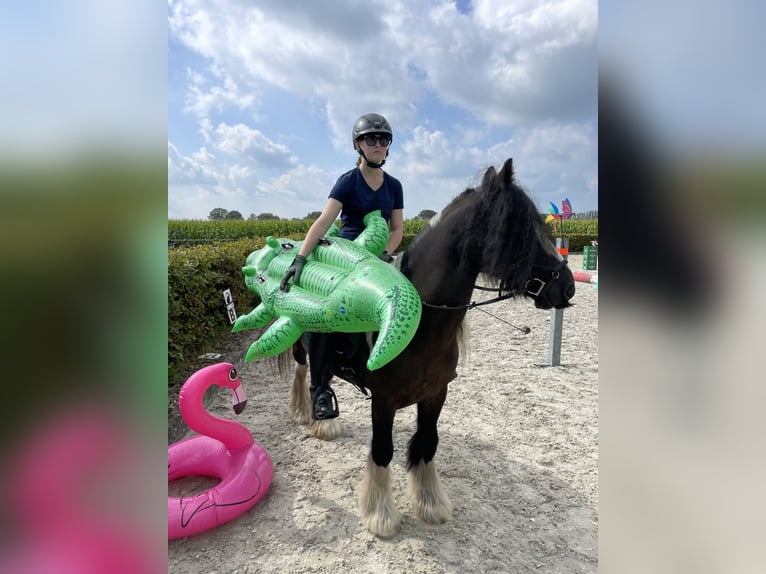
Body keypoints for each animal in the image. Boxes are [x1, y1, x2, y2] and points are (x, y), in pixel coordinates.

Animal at [286, 158, 575, 537]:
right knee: (304, 372)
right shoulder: (383, 401)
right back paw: (310, 412)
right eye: (518, 229)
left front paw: (430, 504)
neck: (423, 325)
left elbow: (427, 443)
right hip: (299, 346)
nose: (567, 287)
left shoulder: (436, 394)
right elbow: (382, 450)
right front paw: (381, 516)